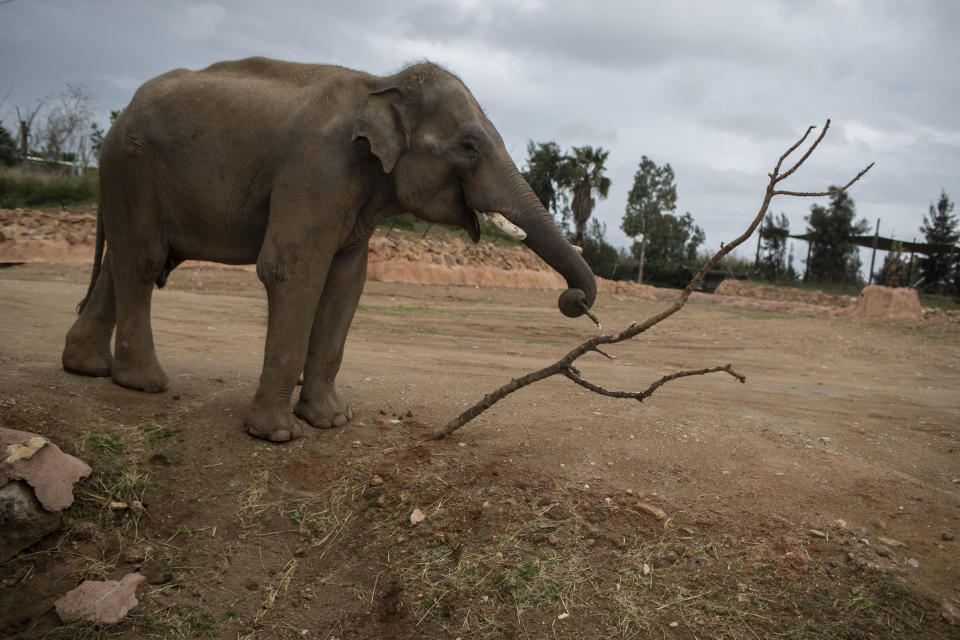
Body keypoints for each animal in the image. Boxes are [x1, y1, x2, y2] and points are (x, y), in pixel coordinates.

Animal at [62, 57, 592, 440]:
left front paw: (333, 422)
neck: (381, 84)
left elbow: (345, 282)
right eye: (469, 147)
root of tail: (122, 113)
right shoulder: (316, 171)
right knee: (143, 259)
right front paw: (277, 436)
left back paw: (89, 369)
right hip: (132, 166)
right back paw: (146, 383)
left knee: (123, 260)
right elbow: (290, 269)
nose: (577, 301)